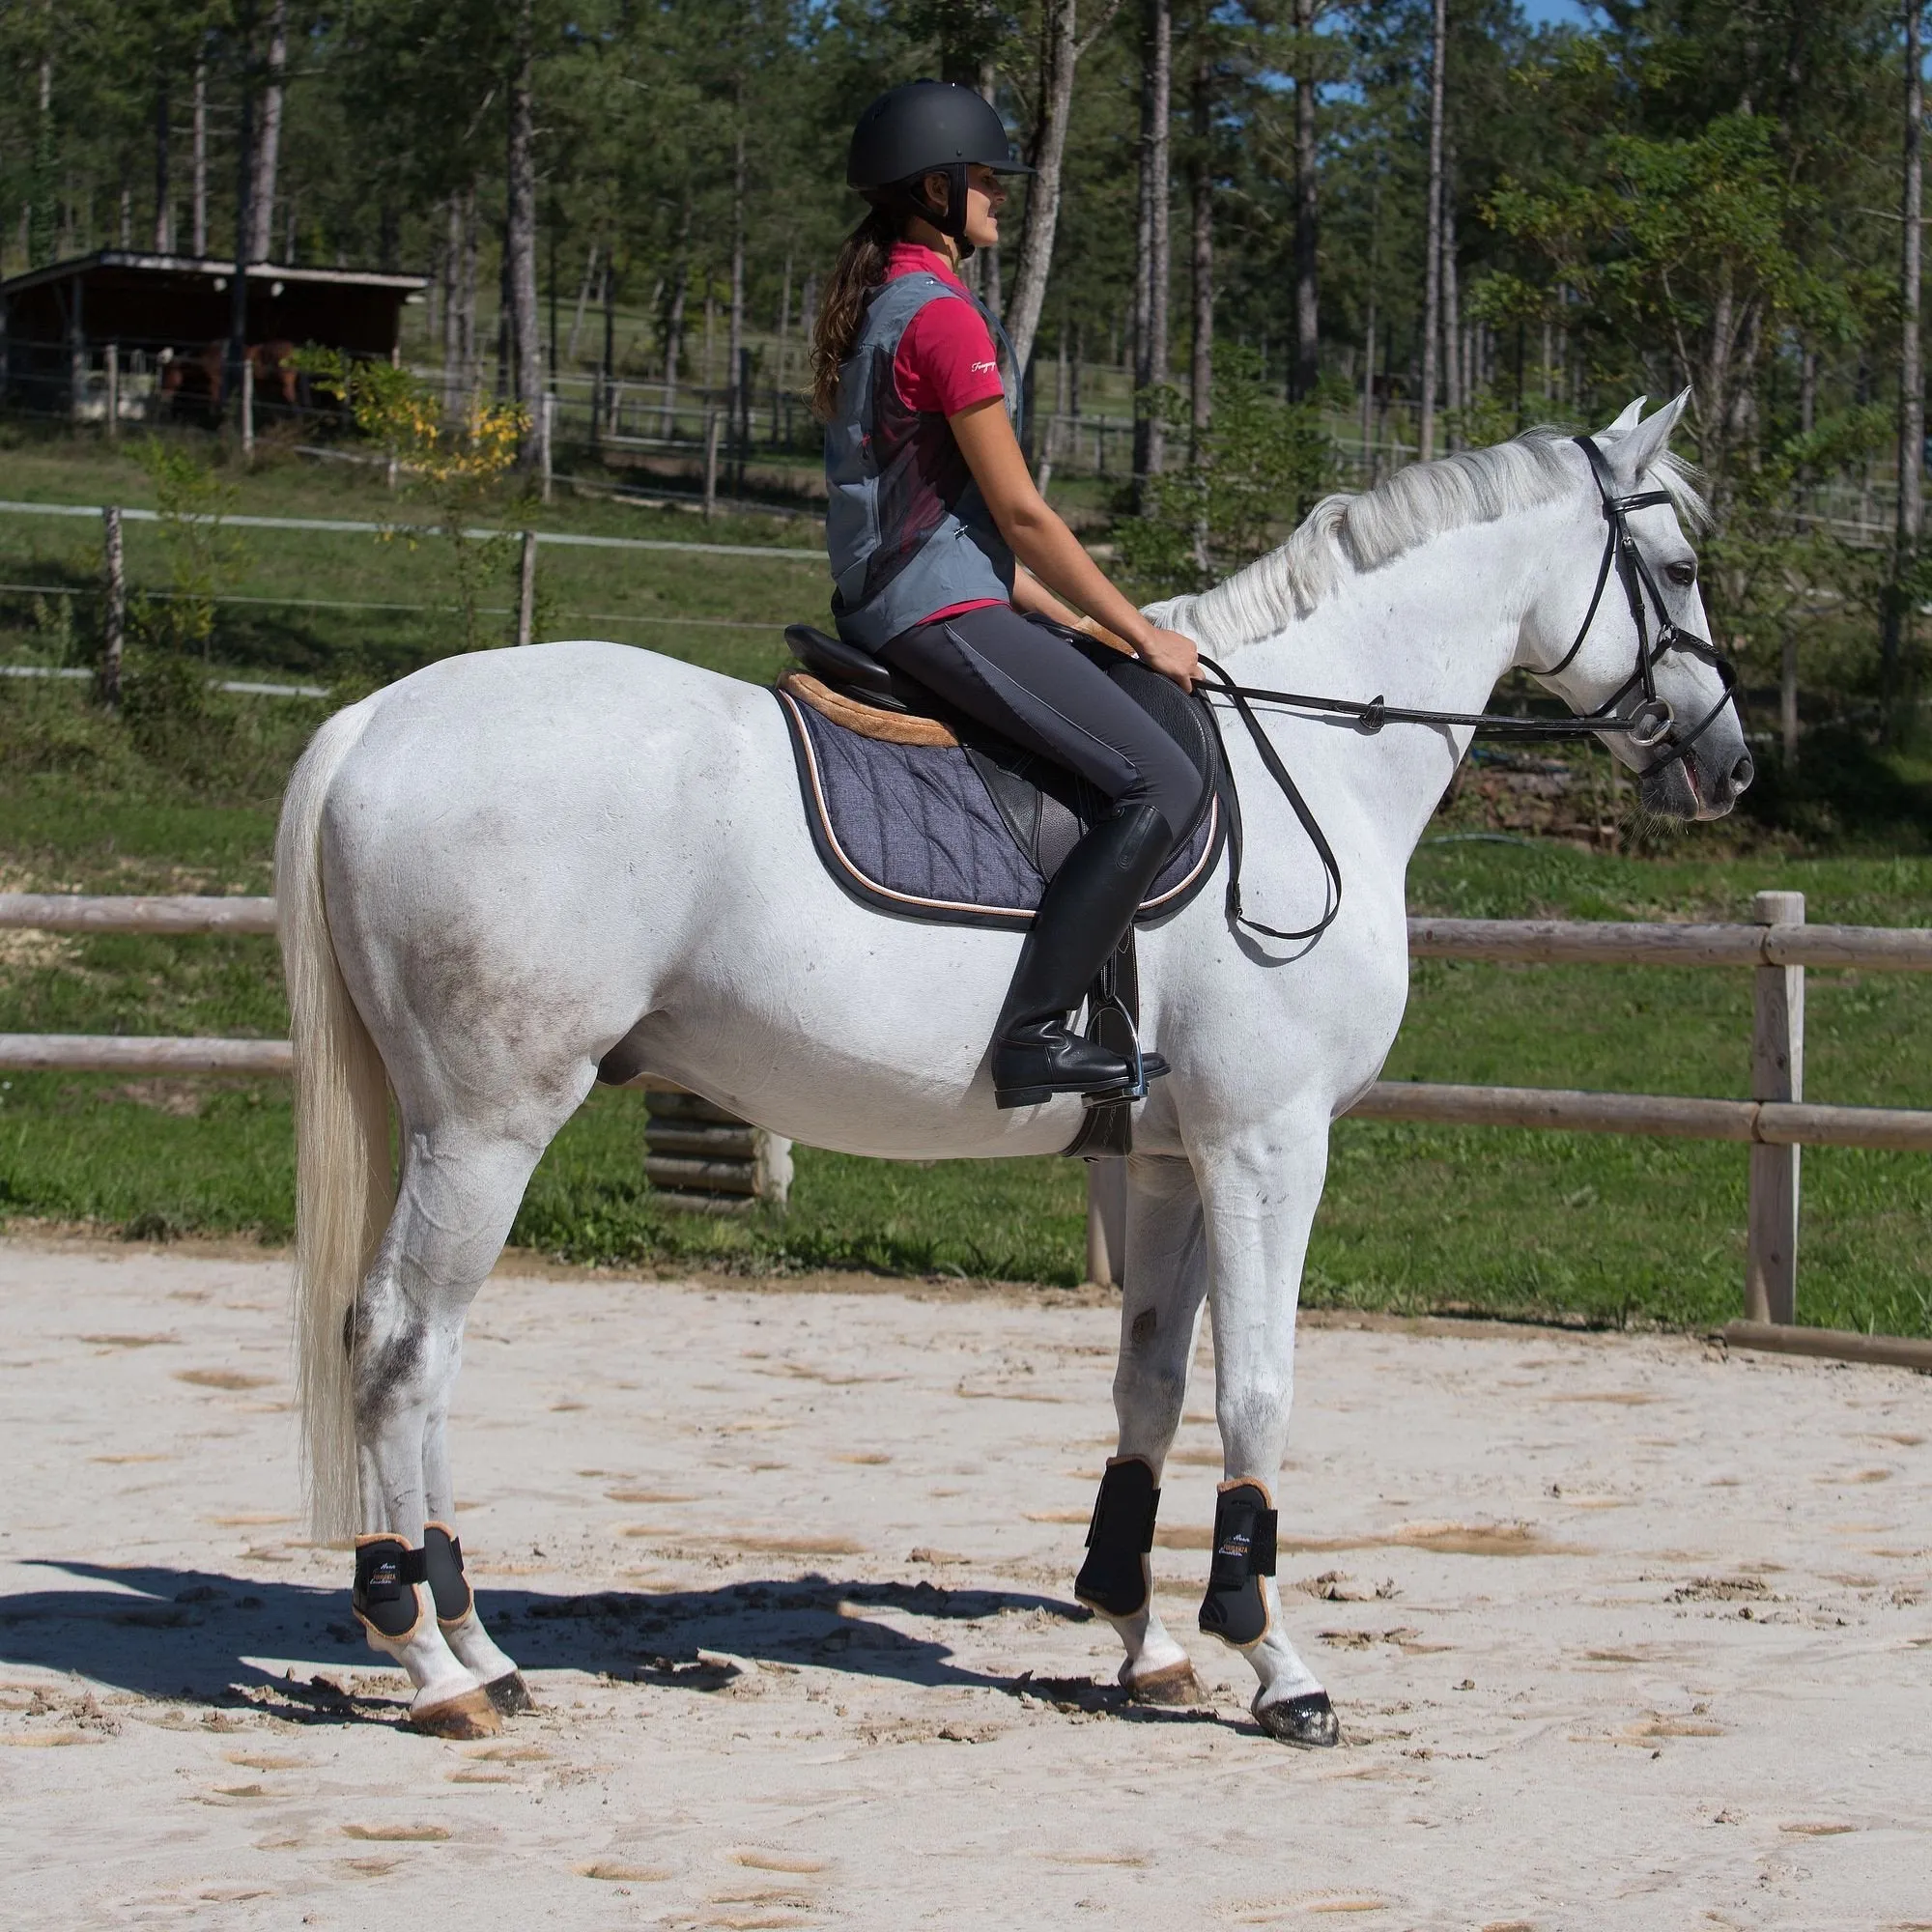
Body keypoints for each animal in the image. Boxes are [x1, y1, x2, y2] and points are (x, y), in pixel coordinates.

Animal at [276, 392, 1754, 1739]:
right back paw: (433, 1661)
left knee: (431, 1350)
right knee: (402, 1340)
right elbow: (1257, 1387)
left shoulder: (1167, 1159)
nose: (1729, 767)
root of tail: (375, 723)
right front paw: (1273, 1658)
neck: (1313, 759)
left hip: (451, 1124)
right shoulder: (1266, 1142)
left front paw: (1141, 1635)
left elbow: (1150, 1383)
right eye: (1680, 568)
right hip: (489, 1122)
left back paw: (478, 1636)